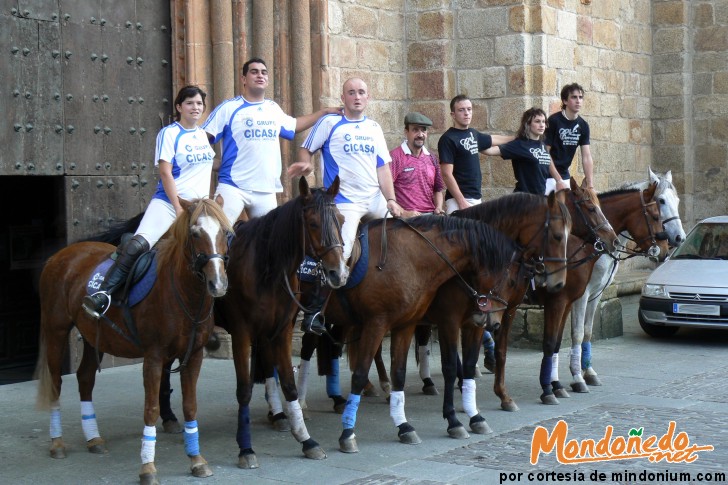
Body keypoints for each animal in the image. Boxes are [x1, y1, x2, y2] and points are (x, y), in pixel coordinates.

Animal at [35, 195, 232, 482]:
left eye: (226, 233)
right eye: (195, 233)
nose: (217, 283)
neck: (183, 294)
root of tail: (60, 256)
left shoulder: (193, 356)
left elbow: (190, 405)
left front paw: (196, 460)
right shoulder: (154, 357)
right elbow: (151, 409)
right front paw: (148, 467)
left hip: (93, 337)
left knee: (85, 378)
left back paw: (93, 439)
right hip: (56, 330)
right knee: (56, 383)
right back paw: (57, 443)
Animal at [219, 178, 350, 468]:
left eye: (341, 219)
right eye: (312, 223)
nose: (338, 273)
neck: (265, 268)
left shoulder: (281, 330)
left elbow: (288, 383)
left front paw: (306, 439)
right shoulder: (241, 332)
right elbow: (244, 390)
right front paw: (245, 448)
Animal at [568, 168, 684, 392]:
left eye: (677, 200)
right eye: (661, 201)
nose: (679, 239)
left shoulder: (596, 292)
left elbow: (587, 331)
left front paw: (588, 372)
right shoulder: (580, 294)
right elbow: (576, 332)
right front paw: (577, 377)